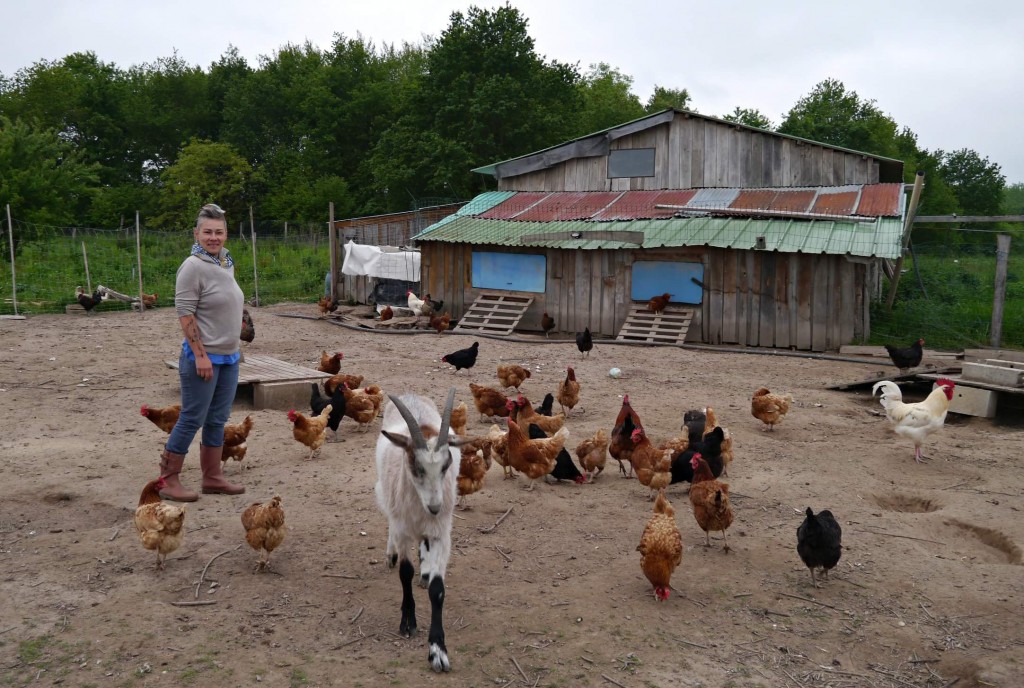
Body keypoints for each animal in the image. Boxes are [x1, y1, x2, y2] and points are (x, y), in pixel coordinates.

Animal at [374, 387, 458, 671]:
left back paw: (425, 569)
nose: (435, 506)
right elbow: (405, 572)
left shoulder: (441, 532)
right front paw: (408, 623)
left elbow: (438, 589)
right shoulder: (402, 529)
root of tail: (410, 395)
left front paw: (438, 650)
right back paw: (390, 555)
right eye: (415, 465)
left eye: (446, 465)